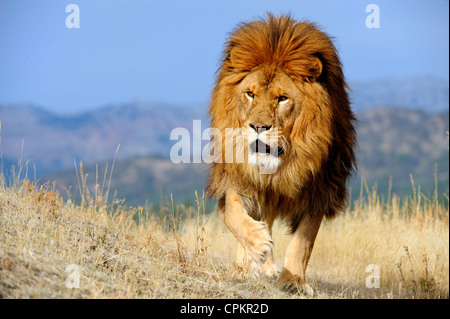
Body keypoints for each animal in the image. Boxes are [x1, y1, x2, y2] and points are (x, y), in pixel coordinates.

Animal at [206, 13, 356, 294]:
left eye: (282, 98)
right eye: (250, 94)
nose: (257, 127)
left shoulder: (320, 187)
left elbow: (303, 241)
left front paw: (293, 282)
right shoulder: (239, 177)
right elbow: (234, 214)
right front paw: (257, 246)